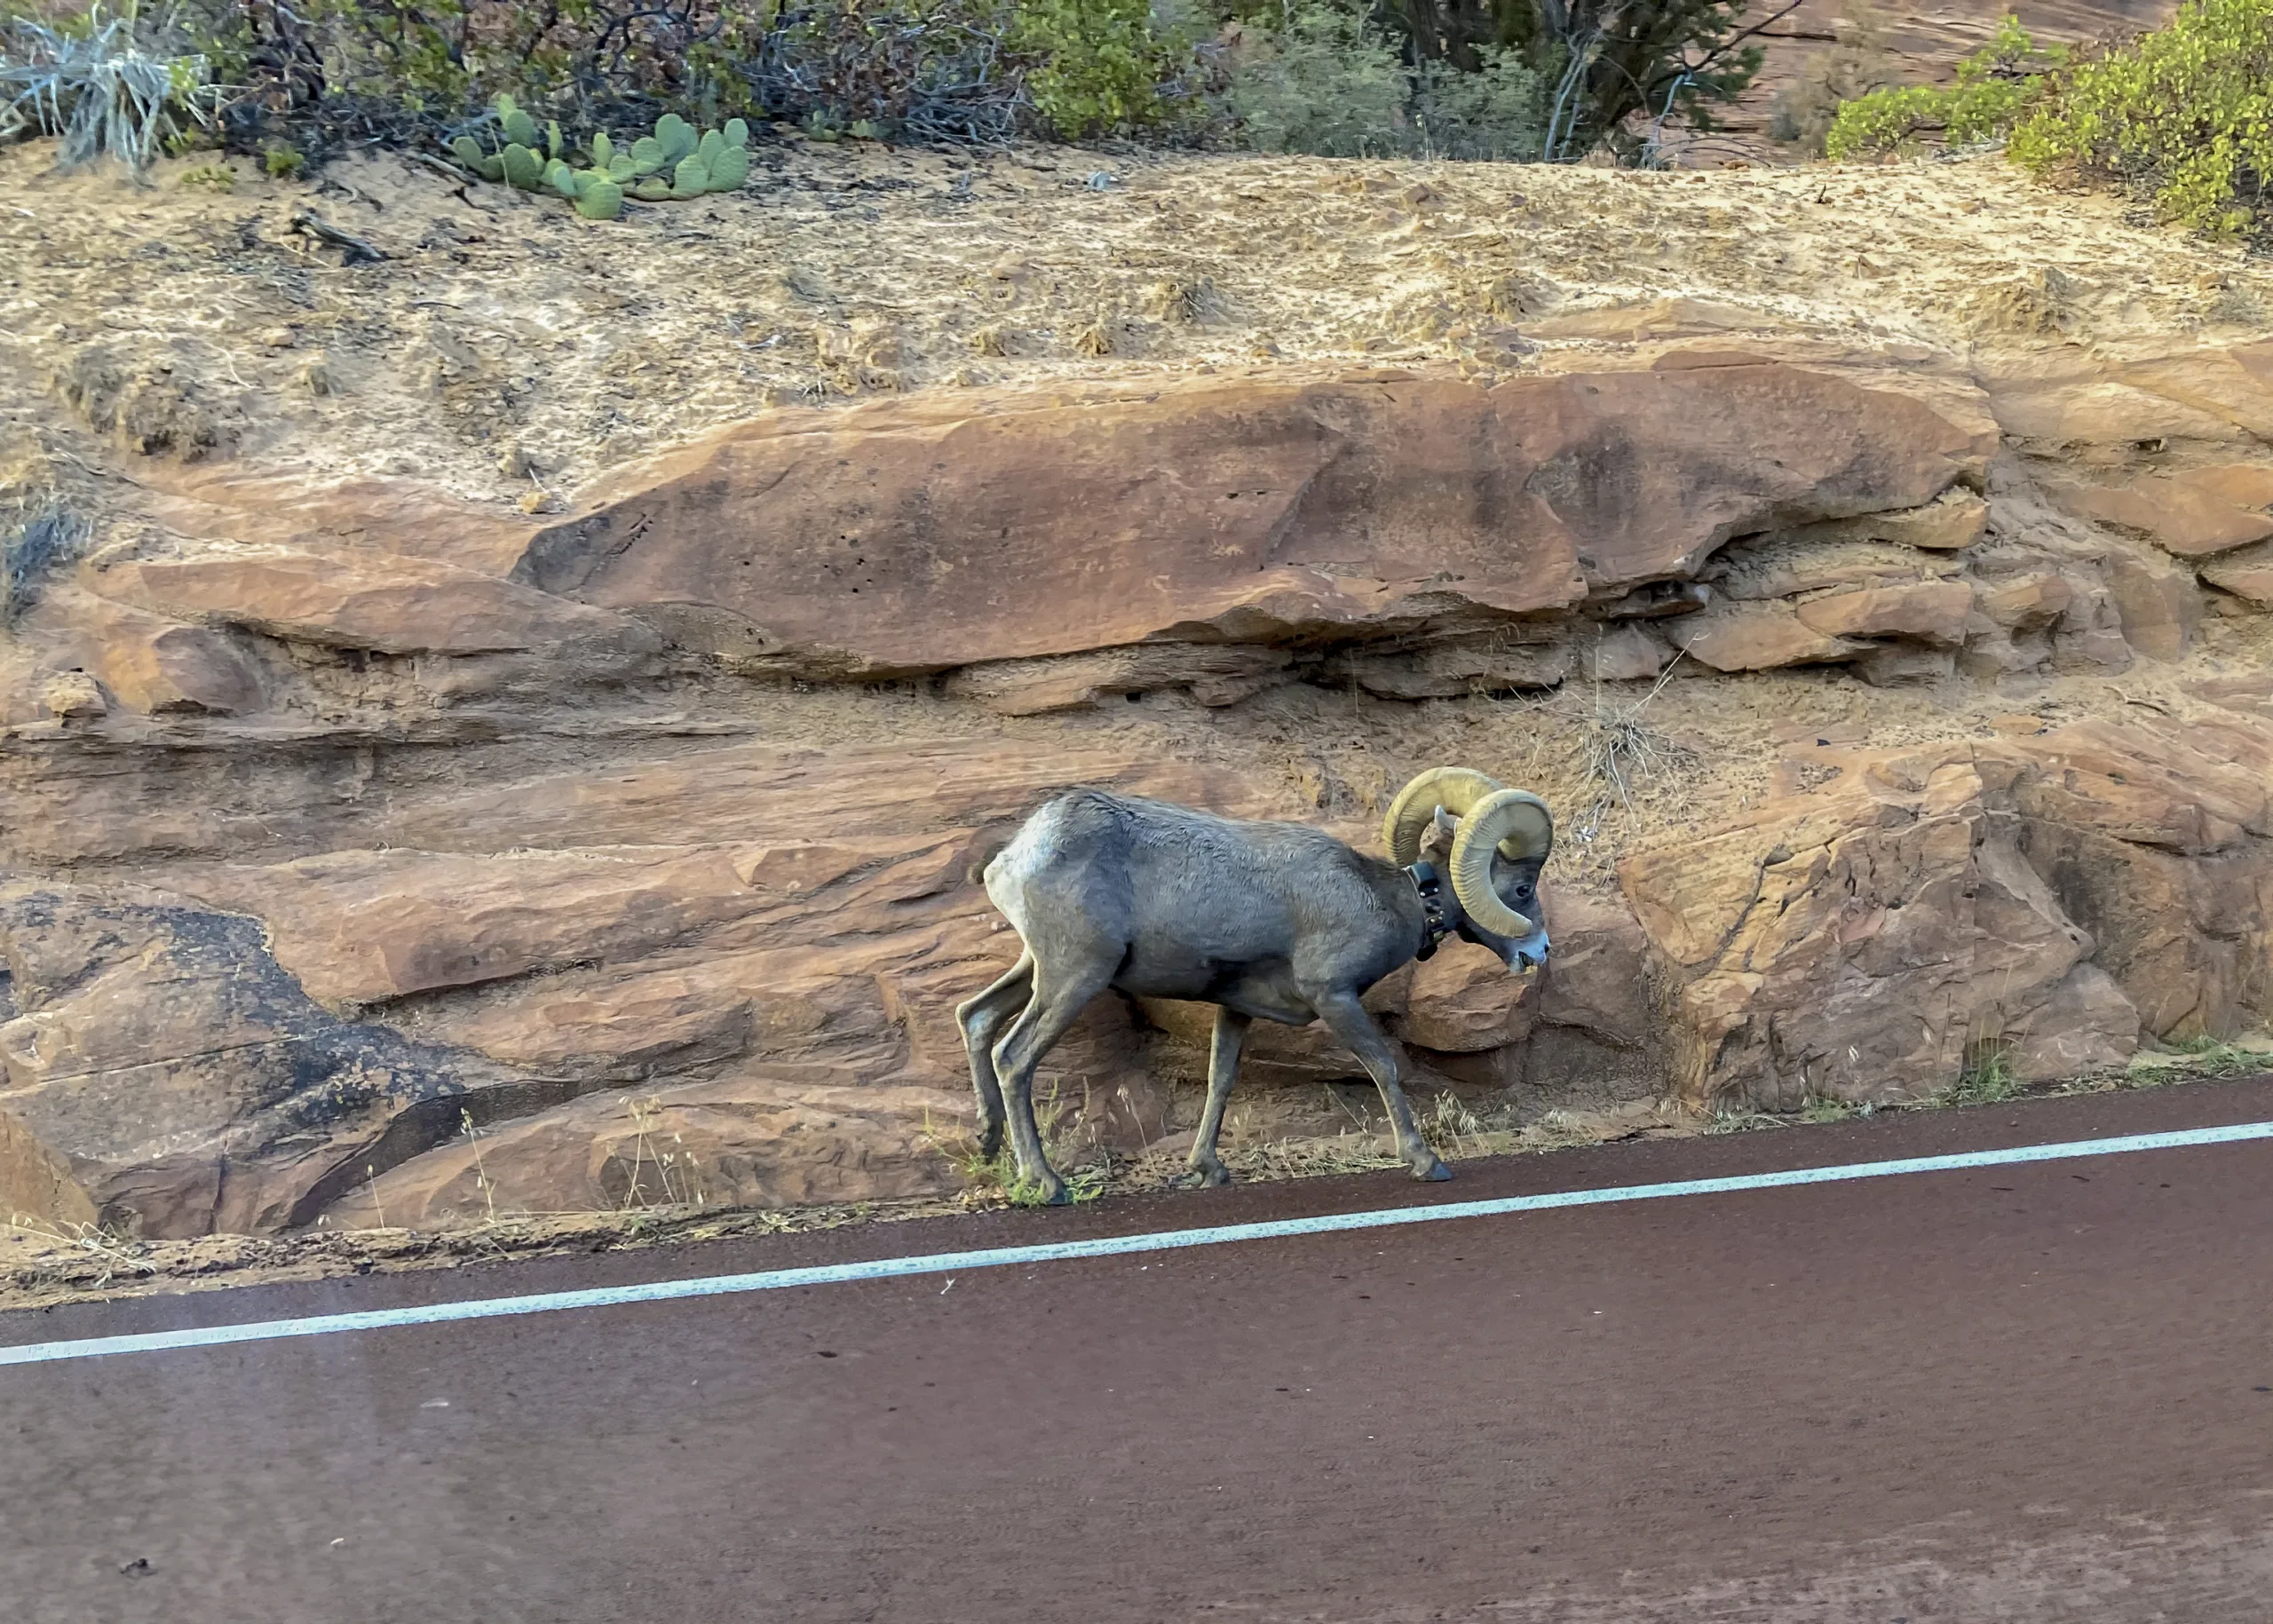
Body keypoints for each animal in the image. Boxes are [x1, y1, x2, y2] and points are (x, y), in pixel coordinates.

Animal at [957, 768, 1554, 1203]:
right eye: (1522, 889)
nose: (1539, 952)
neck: (1387, 900)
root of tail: (1014, 857)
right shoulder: (1333, 996)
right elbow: (1384, 1066)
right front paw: (1426, 1162)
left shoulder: (1235, 1008)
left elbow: (1220, 1082)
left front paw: (1207, 1170)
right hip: (1075, 977)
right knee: (1014, 1057)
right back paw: (1046, 1184)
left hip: (1038, 969)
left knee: (976, 1016)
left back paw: (987, 1145)